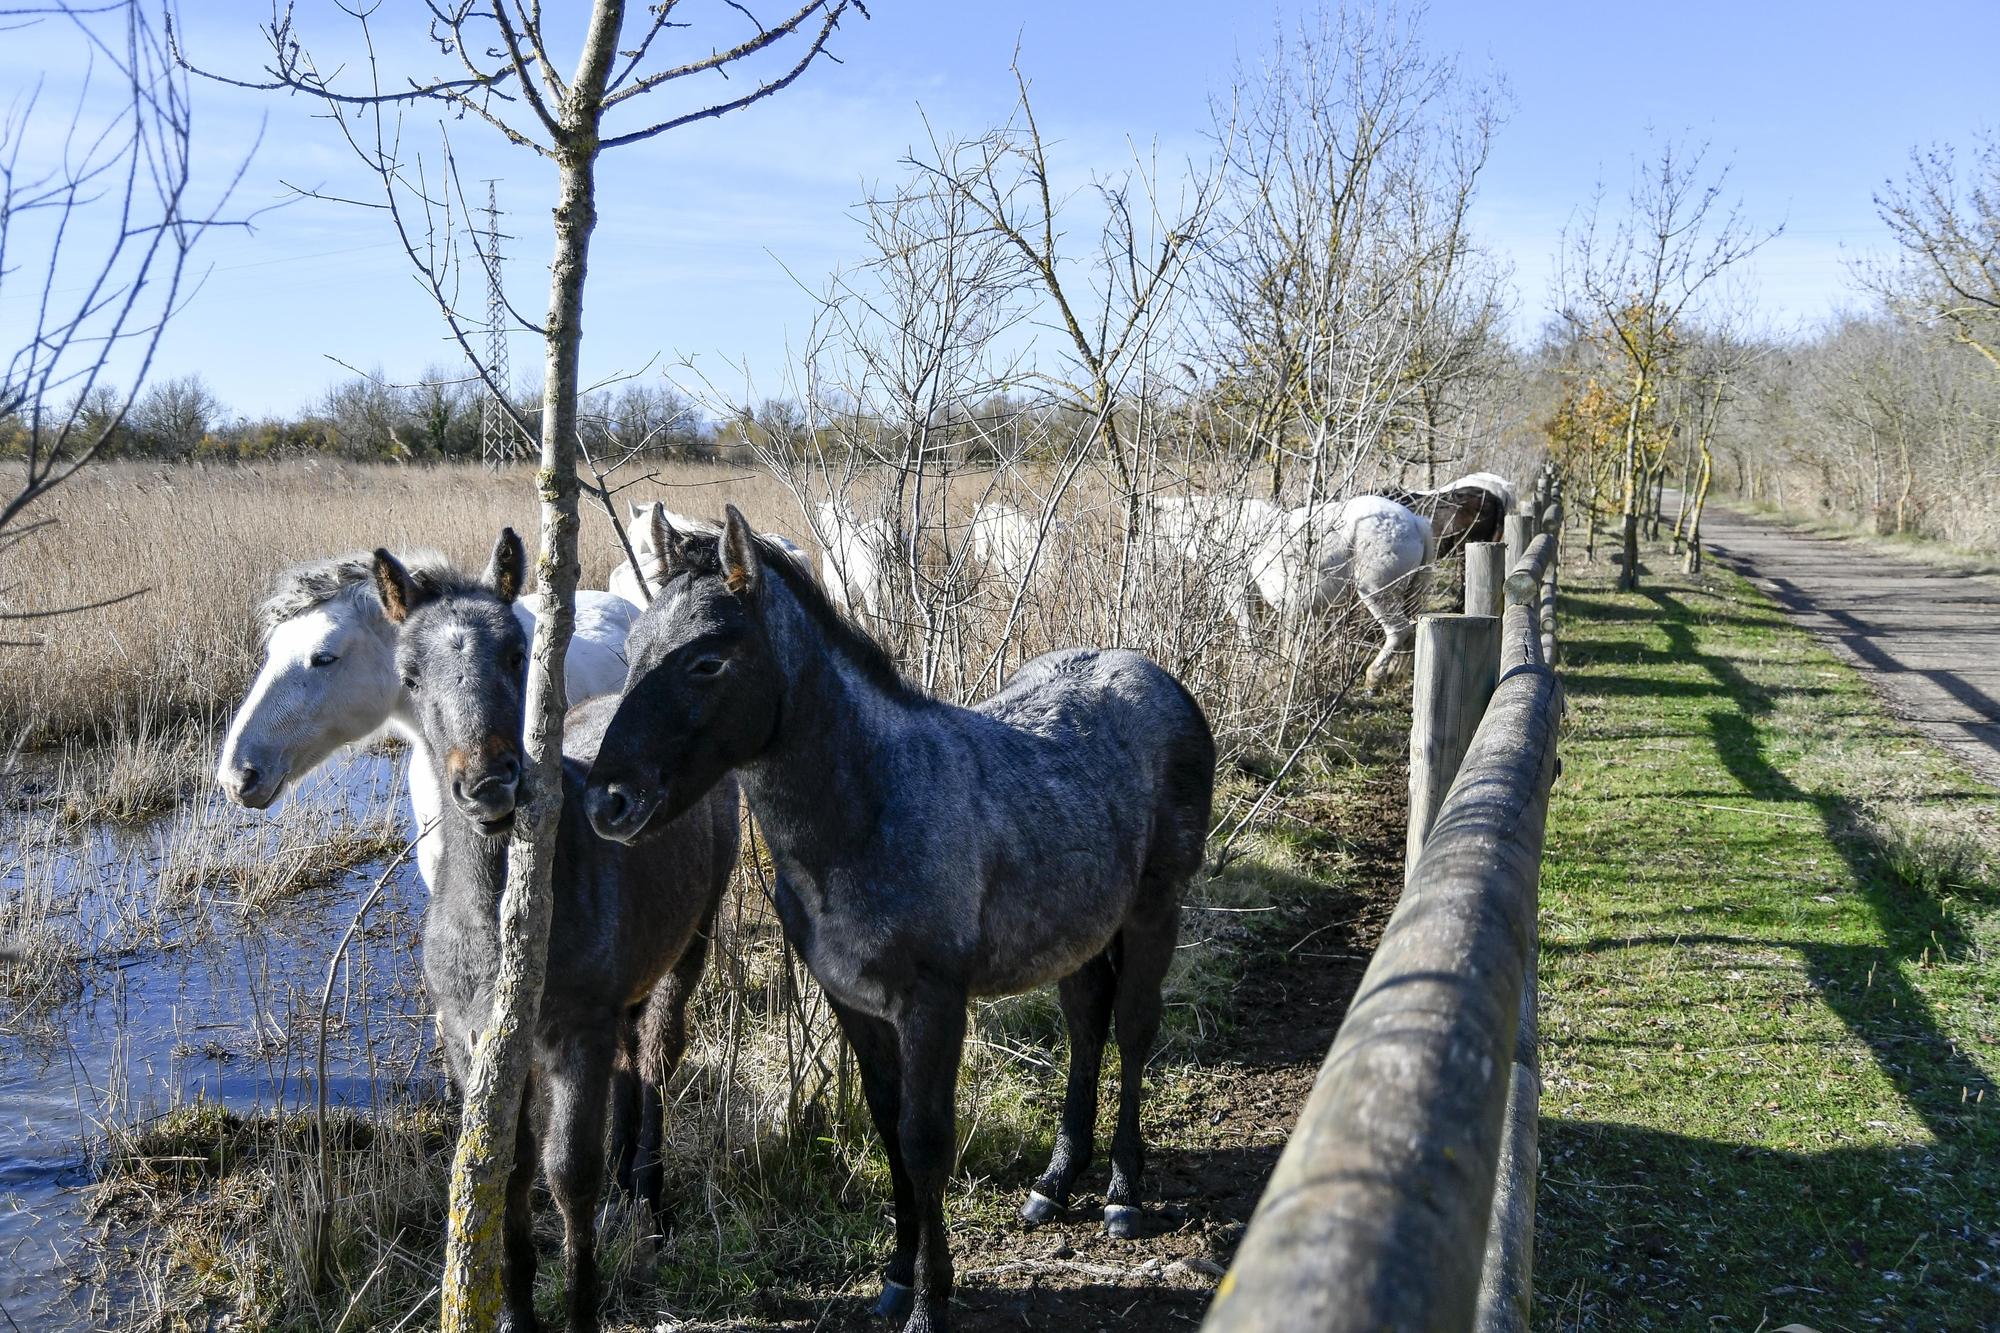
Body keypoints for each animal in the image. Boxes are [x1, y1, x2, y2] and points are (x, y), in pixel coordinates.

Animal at [376, 532, 744, 1328]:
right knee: (632, 1062)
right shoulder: (473, 1040)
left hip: (689, 944)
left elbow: (568, 1172)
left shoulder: (577, 1031)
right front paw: (517, 1305)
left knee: (656, 1057)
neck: (500, 924)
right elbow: (507, 1169)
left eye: (518, 651)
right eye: (409, 674)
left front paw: (581, 1304)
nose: (489, 785)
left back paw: (648, 1200)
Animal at [1248, 492, 1440, 688]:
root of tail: (1416, 522)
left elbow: (1249, 631)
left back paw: (1374, 679)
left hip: (1377, 593)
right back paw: (1392, 673)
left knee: (1399, 630)